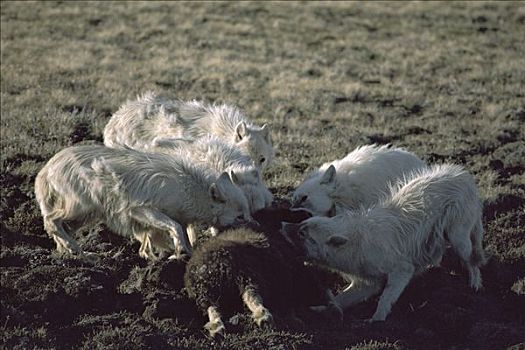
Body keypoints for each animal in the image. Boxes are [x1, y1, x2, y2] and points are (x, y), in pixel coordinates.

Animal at [34, 144, 252, 260]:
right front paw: (178, 253)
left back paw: (73, 253)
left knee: (60, 230)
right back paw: (82, 253)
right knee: (51, 222)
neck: (190, 189)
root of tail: (45, 170)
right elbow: (174, 228)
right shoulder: (142, 210)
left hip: (84, 216)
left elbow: (173, 236)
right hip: (81, 208)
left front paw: (178, 254)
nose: (256, 226)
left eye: (248, 214)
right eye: (240, 217)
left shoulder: (159, 222)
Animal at [288, 164, 486, 322]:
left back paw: (475, 285)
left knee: (471, 259)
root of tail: (463, 175)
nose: (283, 225)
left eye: (304, 234)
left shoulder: (401, 270)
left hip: (458, 234)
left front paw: (376, 321)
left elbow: (386, 297)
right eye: (303, 224)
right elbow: (342, 298)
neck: (356, 241)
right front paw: (319, 310)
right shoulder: (368, 281)